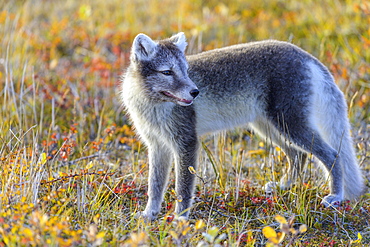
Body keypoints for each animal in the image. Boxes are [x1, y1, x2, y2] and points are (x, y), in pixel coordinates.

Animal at [120, 31, 362, 220]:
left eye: (186, 71)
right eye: (167, 72)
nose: (195, 92)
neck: (152, 105)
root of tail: (305, 55)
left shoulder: (186, 143)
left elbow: (183, 188)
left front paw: (180, 220)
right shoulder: (157, 145)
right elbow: (155, 186)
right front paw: (150, 215)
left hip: (289, 125)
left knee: (332, 154)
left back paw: (336, 196)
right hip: (269, 127)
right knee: (298, 155)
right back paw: (283, 186)